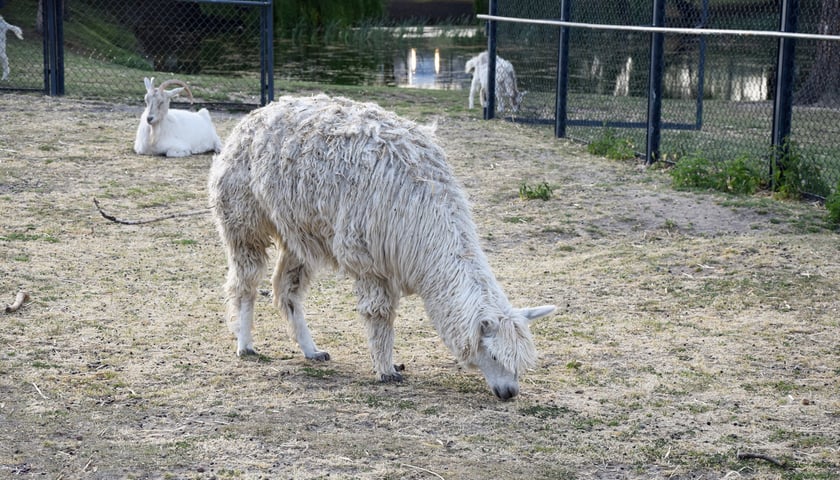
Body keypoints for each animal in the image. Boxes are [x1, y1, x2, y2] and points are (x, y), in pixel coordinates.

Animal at [207, 94, 556, 402]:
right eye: (493, 355)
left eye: (521, 362)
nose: (509, 392)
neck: (422, 206)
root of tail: (253, 117)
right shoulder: (369, 258)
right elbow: (379, 315)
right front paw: (387, 370)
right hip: (243, 217)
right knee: (245, 282)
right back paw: (245, 345)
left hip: (299, 229)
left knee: (286, 289)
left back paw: (312, 351)